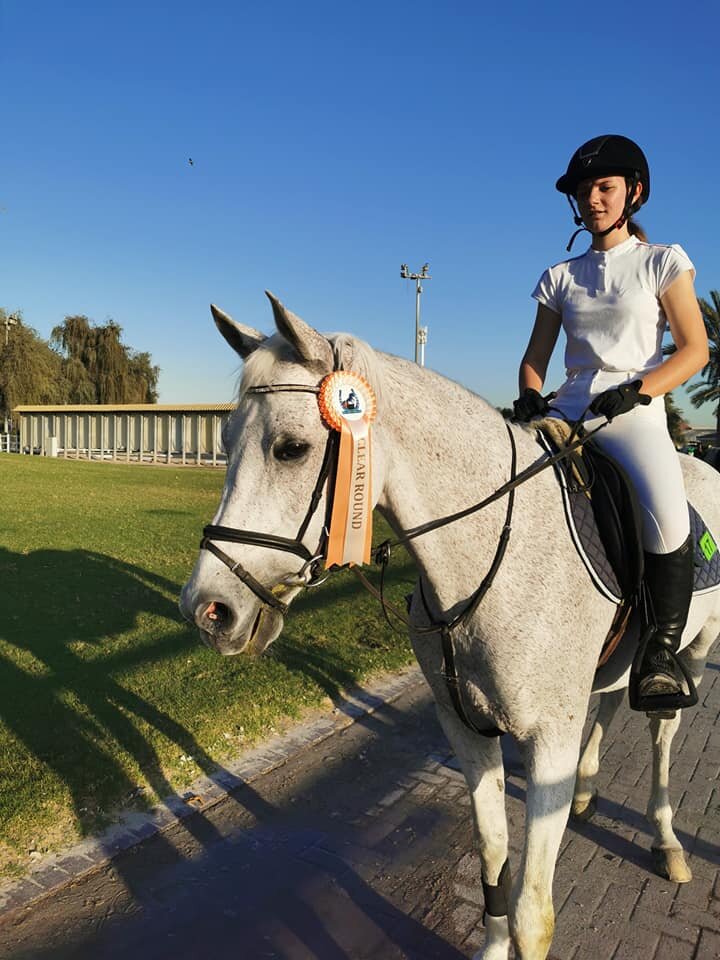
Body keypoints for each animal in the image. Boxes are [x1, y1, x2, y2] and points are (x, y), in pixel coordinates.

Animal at [180, 292, 720, 960]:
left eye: (291, 448)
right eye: (225, 441)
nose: (207, 609)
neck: (494, 555)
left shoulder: (548, 742)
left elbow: (533, 913)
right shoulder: (466, 730)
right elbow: (493, 861)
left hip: (695, 648)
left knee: (662, 732)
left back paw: (666, 841)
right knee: (615, 700)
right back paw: (589, 791)